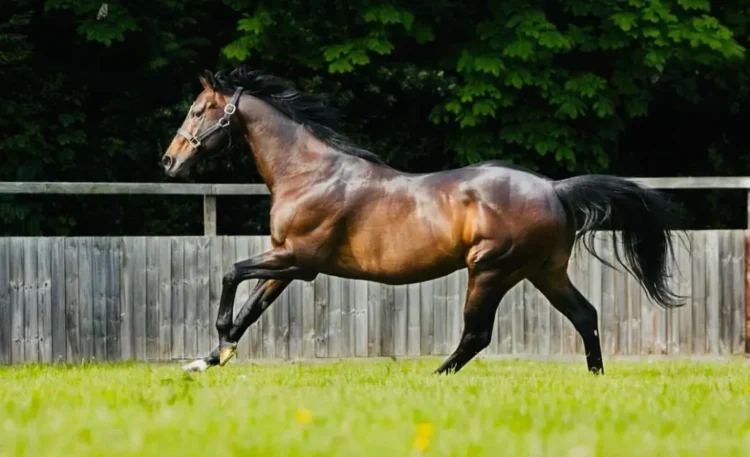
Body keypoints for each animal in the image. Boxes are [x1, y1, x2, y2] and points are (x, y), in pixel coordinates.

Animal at [164, 66, 688, 376]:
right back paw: (595, 378)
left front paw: (219, 346)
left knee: (478, 334)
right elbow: (251, 308)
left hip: (491, 270)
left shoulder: (298, 259)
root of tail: (555, 189)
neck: (310, 172)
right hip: (544, 271)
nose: (169, 161)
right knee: (585, 315)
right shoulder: (286, 262)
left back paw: (434, 377)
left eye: (197, 110)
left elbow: (230, 275)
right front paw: (209, 359)